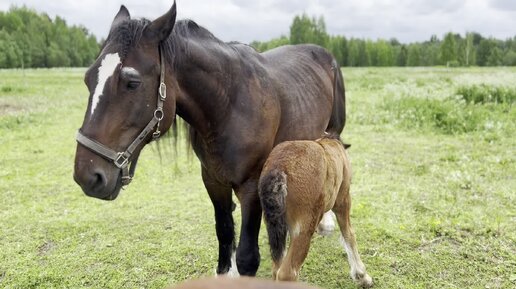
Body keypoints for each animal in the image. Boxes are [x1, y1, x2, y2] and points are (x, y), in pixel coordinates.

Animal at [72, 2, 344, 276]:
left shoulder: (251, 185)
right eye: (87, 79)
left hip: (333, 131)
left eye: (132, 82)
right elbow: (224, 235)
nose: (88, 176)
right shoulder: (213, 179)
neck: (229, 105)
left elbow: (247, 257)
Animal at [260, 135, 372, 286]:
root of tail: (279, 167)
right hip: (304, 227)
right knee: (287, 273)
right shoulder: (343, 198)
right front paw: (362, 276)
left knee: (276, 267)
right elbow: (349, 233)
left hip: (276, 226)